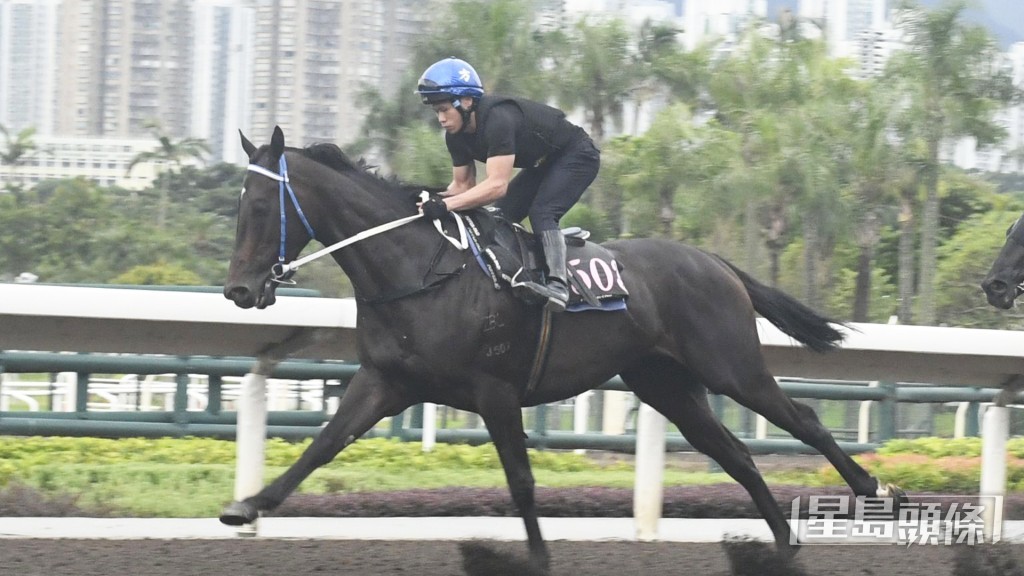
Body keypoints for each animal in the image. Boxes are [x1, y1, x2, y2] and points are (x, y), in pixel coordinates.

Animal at [221, 126, 902, 572]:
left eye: (261, 207)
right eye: (238, 206)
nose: (239, 290)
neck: (420, 267)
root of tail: (714, 261)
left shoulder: (495, 390)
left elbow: (521, 481)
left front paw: (538, 557)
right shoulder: (386, 381)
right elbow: (323, 445)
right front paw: (248, 506)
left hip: (731, 367)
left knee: (803, 420)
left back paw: (873, 493)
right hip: (668, 385)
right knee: (735, 454)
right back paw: (783, 547)